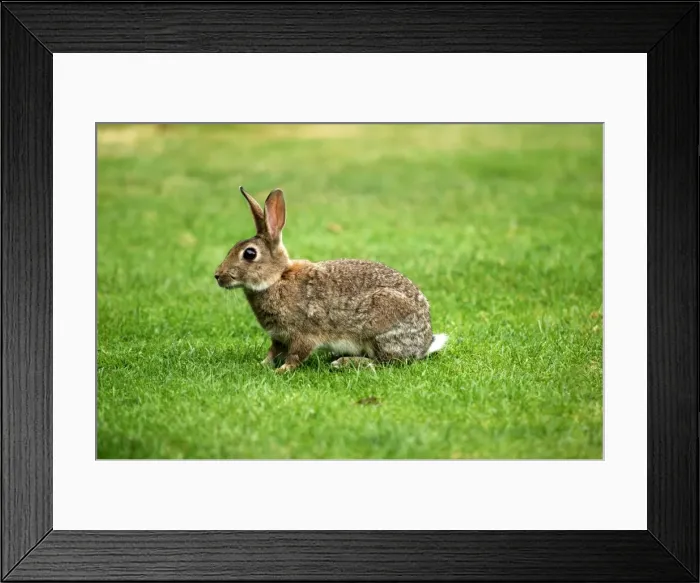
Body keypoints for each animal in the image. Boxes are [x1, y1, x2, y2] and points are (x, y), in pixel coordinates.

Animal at [214, 186, 448, 373]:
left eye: (249, 254)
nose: (217, 276)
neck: (277, 279)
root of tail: (423, 344)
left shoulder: (303, 333)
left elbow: (296, 354)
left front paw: (282, 370)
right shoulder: (279, 337)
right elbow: (273, 352)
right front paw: (261, 365)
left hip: (380, 326)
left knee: (384, 362)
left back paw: (343, 363)